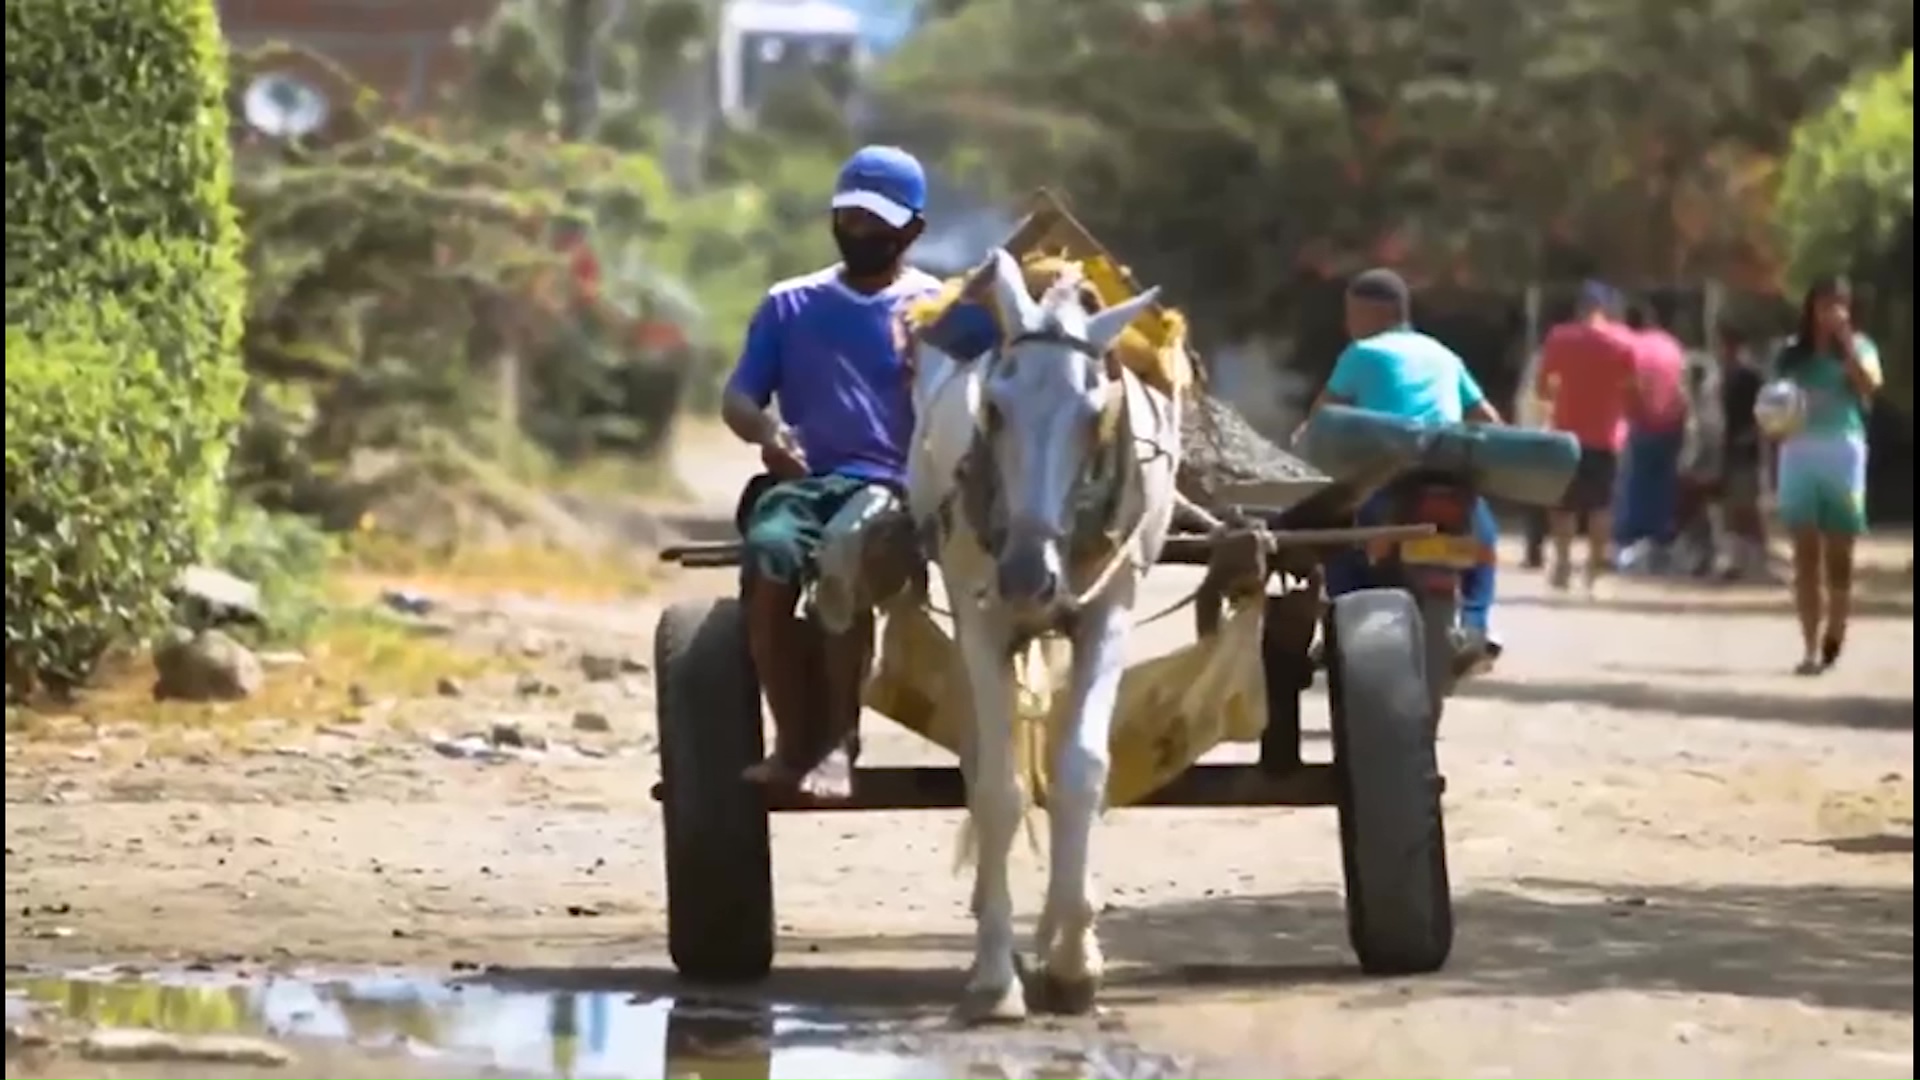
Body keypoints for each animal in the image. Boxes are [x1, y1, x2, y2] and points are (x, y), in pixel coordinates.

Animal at [902, 245, 1182, 1014]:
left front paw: (1074, 962)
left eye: (1095, 414)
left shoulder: (1110, 608)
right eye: (994, 409)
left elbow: (1081, 771)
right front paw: (997, 976)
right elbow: (998, 788)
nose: (1030, 574)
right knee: (982, 760)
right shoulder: (983, 617)